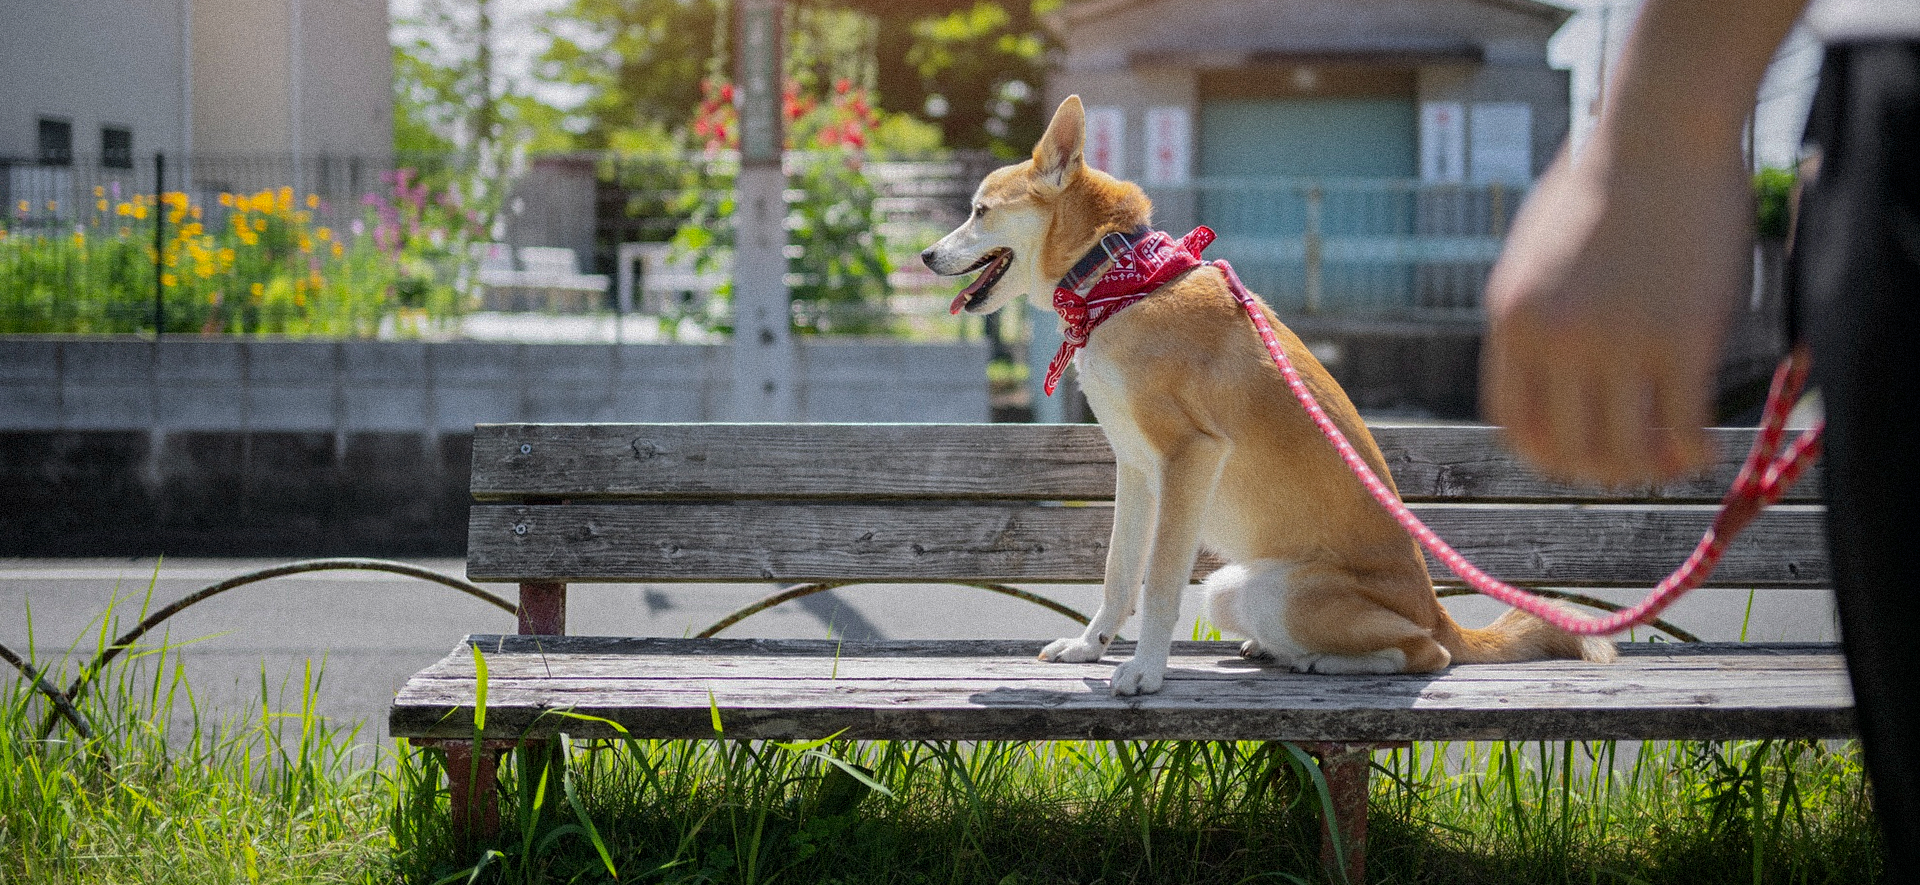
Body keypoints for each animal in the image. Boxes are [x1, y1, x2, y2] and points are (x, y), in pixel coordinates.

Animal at [921, 95, 1612, 691]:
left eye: (980, 211)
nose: (926, 255)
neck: (1119, 282)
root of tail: (1439, 613)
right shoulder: (1138, 470)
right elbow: (1120, 573)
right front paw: (1091, 647)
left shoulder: (1189, 458)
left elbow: (1159, 584)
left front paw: (1145, 672)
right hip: (1232, 588)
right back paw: (1275, 651)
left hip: (1290, 594)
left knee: (1424, 654)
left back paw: (1323, 661)